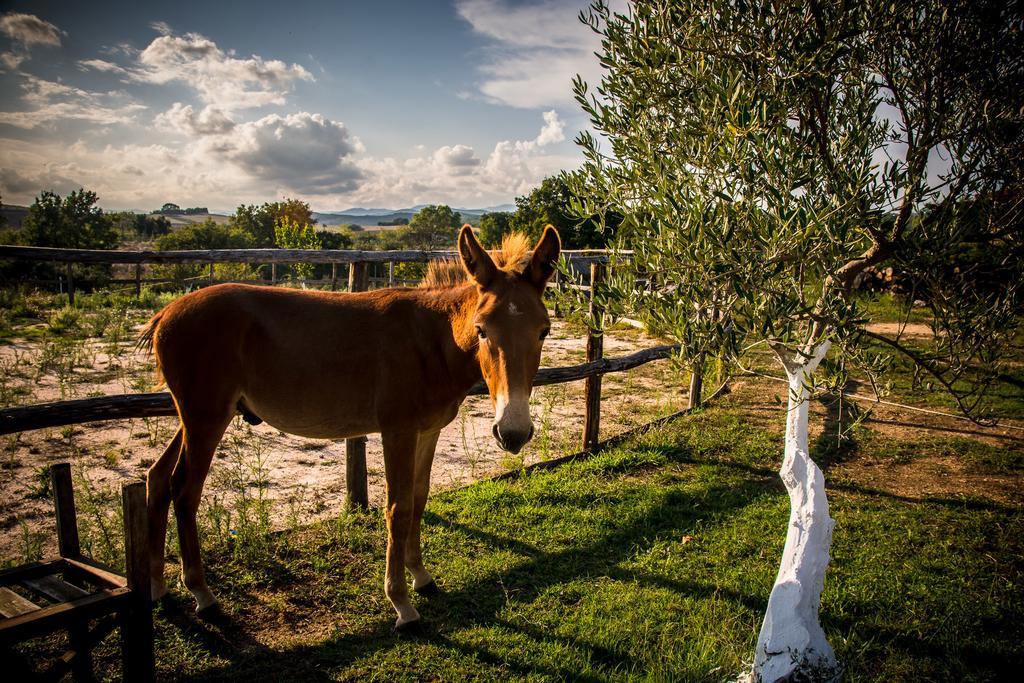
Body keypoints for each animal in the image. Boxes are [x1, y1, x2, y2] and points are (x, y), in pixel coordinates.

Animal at [137, 225, 561, 630]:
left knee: (157, 477)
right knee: (185, 491)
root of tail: (167, 312)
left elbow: (419, 498)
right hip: (206, 418)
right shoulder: (397, 431)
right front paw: (401, 602)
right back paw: (202, 594)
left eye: (544, 331)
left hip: (194, 418)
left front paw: (421, 576)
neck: (430, 341)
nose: (513, 432)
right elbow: (398, 507)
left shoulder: (428, 431)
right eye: (482, 329)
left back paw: (156, 587)